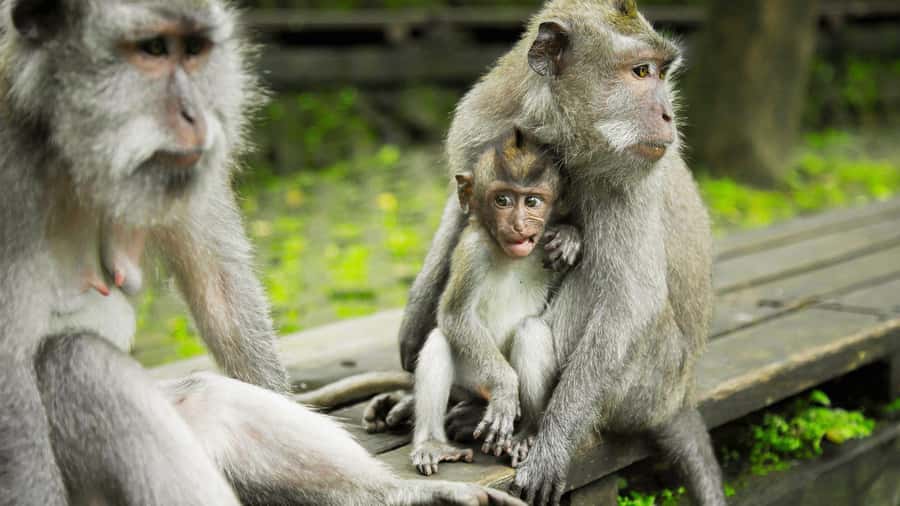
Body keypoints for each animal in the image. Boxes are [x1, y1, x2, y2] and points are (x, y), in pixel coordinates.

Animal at [0, 1, 524, 505]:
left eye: (193, 50)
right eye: (152, 50)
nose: (196, 115)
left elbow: (220, 292)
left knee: (205, 400)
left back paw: (399, 494)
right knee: (79, 362)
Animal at [411, 129, 581, 476]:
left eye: (532, 201)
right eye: (502, 200)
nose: (518, 225)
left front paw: (570, 237)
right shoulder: (472, 250)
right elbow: (455, 315)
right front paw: (504, 389)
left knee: (531, 331)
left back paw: (527, 432)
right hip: (474, 378)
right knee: (440, 341)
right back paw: (433, 443)